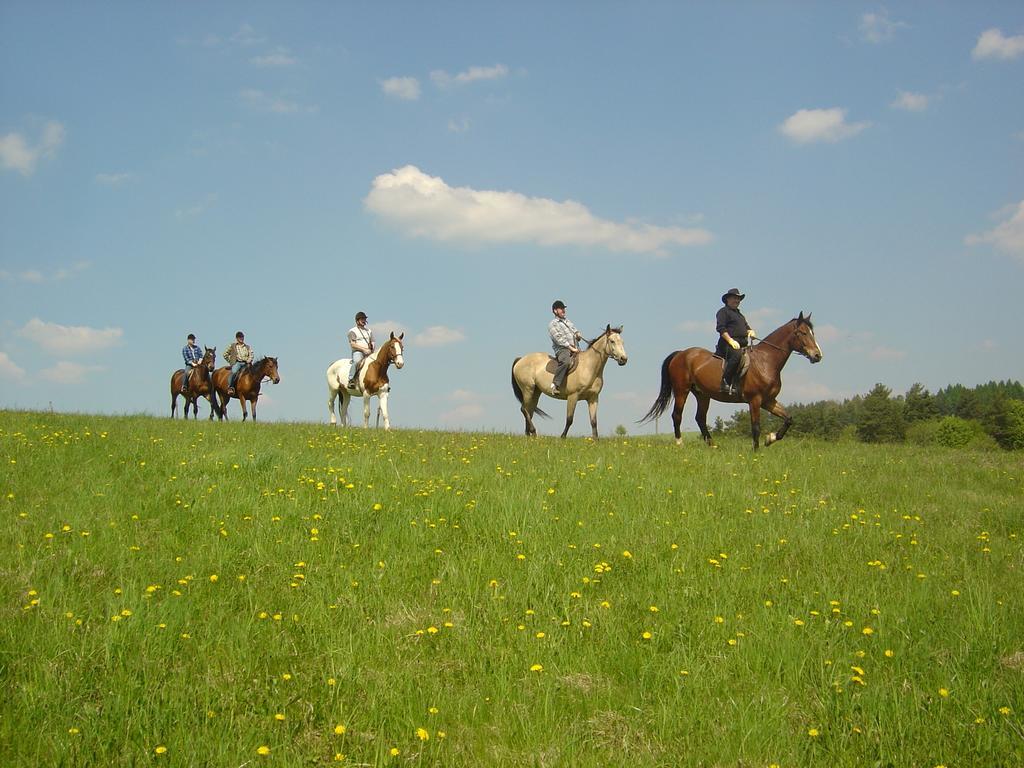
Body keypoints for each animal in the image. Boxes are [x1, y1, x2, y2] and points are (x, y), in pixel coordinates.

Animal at [638, 313, 823, 450]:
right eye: (803, 333)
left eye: (812, 333)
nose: (817, 355)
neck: (766, 361)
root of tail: (681, 353)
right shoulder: (755, 400)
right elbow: (755, 427)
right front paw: (756, 452)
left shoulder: (768, 401)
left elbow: (788, 418)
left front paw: (770, 439)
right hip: (681, 390)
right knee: (677, 415)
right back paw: (680, 444)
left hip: (702, 394)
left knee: (700, 418)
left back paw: (712, 446)